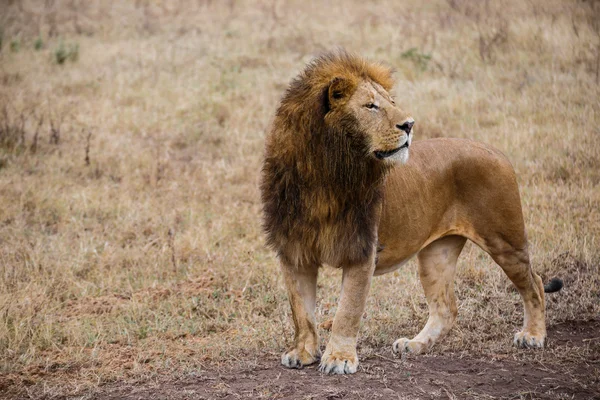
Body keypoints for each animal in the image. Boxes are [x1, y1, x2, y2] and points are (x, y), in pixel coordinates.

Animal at [262, 50, 564, 376]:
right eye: (371, 106)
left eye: (391, 103)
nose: (408, 124)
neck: (322, 176)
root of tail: (494, 150)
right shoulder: (295, 251)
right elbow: (301, 310)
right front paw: (303, 352)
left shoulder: (361, 250)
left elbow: (347, 310)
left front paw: (339, 358)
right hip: (436, 254)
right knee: (446, 308)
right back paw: (415, 345)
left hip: (504, 240)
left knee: (535, 284)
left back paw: (533, 335)